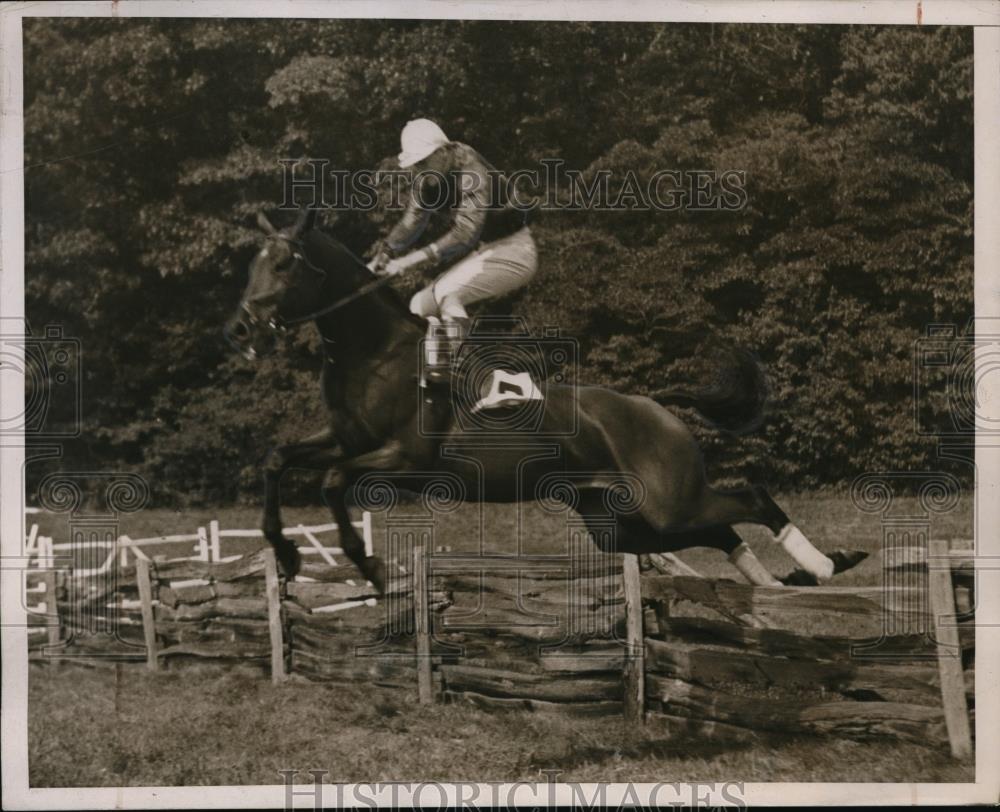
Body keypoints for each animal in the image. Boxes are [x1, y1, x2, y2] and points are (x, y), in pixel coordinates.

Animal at [225, 209, 860, 588]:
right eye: (252, 262)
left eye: (284, 263)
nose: (240, 328)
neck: (374, 354)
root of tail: (652, 407)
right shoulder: (343, 439)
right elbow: (278, 460)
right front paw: (286, 555)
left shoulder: (404, 459)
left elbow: (334, 481)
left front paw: (372, 567)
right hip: (623, 521)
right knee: (718, 532)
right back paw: (779, 581)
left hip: (669, 500)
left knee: (751, 499)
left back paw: (826, 565)